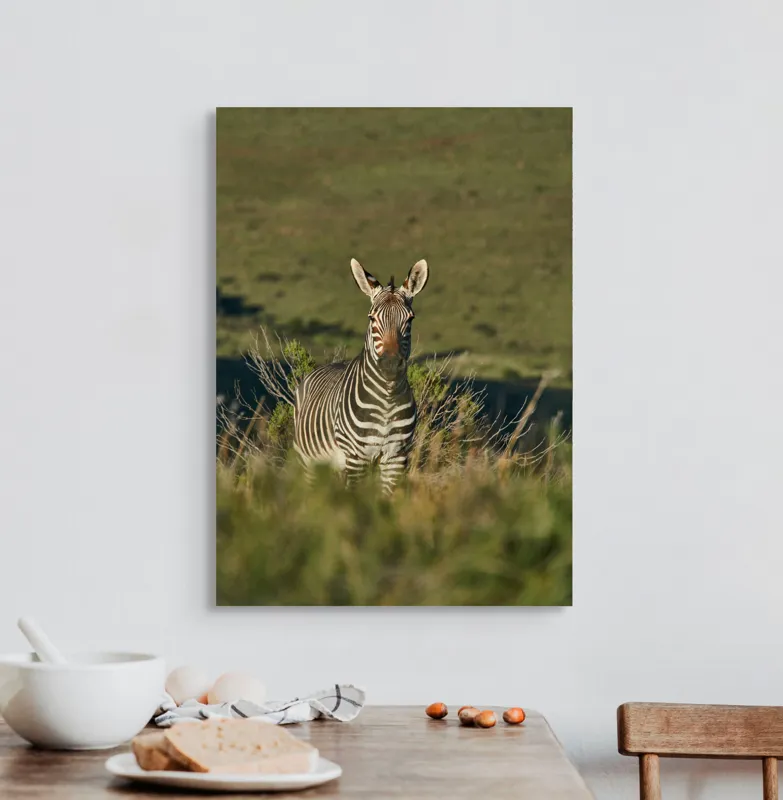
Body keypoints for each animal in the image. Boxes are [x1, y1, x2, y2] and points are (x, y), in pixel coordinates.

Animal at [293, 257, 429, 492]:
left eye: (410, 319)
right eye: (372, 318)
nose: (390, 365)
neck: (387, 399)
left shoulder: (396, 457)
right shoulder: (357, 457)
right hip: (309, 461)